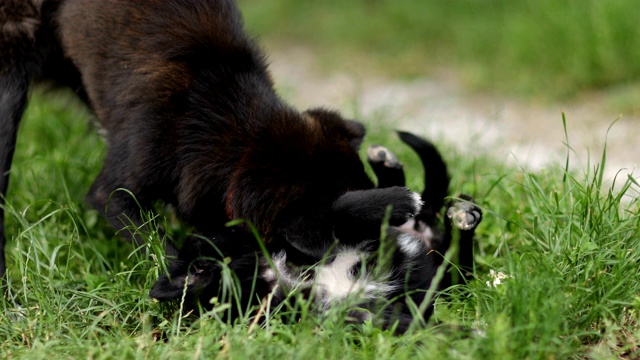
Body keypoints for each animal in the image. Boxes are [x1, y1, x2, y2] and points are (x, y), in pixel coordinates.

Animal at [150, 132, 480, 334]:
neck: (283, 272)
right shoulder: (340, 313)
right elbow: (386, 321)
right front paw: (460, 333)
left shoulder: (313, 235)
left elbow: (337, 209)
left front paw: (400, 200)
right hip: (448, 277)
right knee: (461, 265)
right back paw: (460, 217)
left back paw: (387, 164)